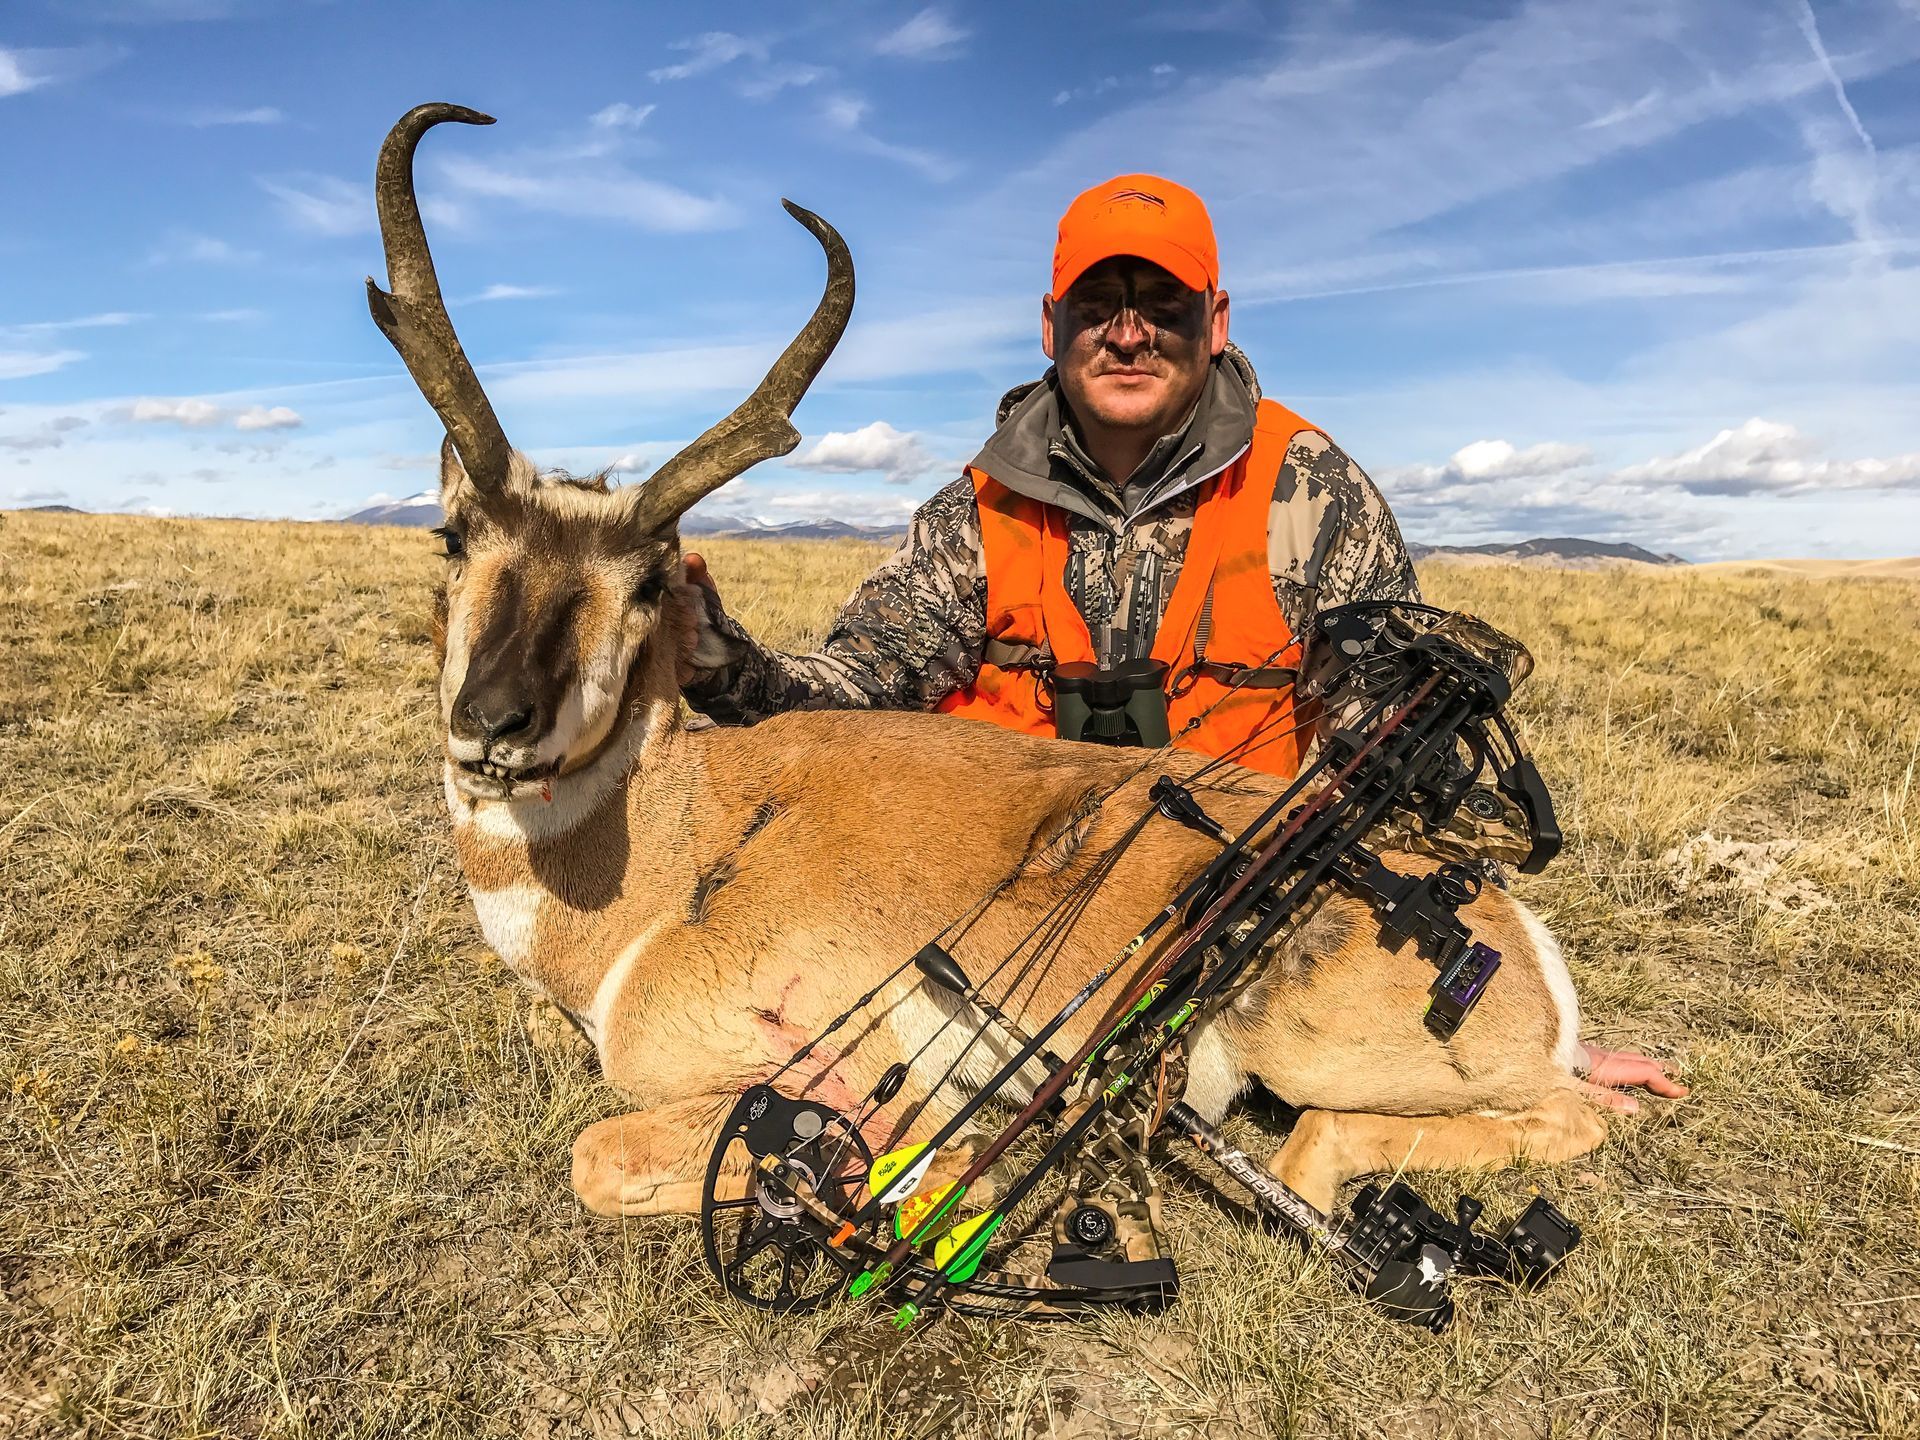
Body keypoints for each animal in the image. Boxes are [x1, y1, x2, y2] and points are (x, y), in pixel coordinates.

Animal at [368, 104, 1681, 1226]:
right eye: (453, 538)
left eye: (647, 581)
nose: (495, 721)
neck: (678, 837)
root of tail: (1511, 927)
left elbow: (603, 1152)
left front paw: (919, 1162)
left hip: (1322, 1058)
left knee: (1481, 1123)